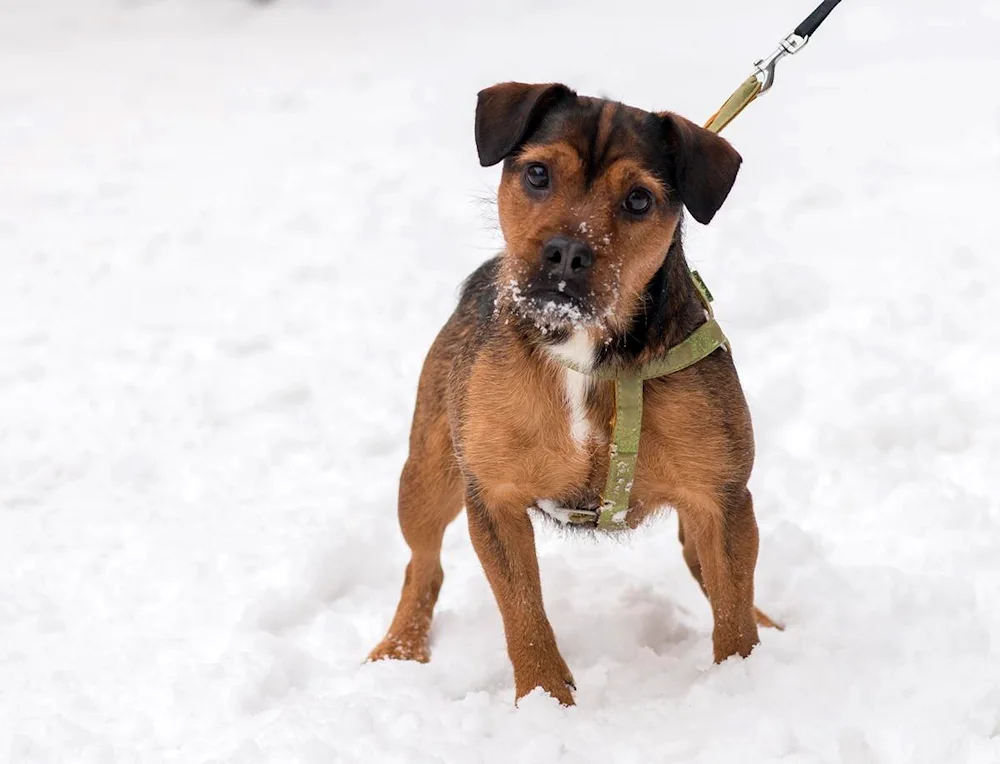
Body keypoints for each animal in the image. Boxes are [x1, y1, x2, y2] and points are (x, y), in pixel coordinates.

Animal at [364, 82, 776, 704]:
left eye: (638, 200)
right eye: (537, 174)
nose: (566, 253)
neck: (586, 351)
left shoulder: (720, 497)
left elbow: (732, 607)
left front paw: (742, 681)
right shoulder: (494, 497)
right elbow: (523, 613)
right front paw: (544, 700)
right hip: (427, 476)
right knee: (423, 563)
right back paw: (400, 648)